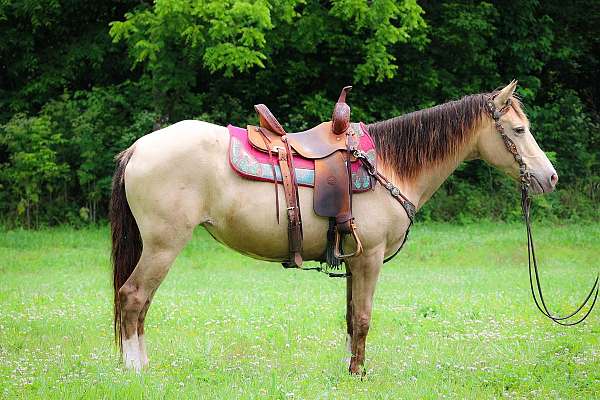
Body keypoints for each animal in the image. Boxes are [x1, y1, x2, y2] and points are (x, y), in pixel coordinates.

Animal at [111, 82, 564, 376]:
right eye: (520, 130)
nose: (550, 177)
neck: (389, 167)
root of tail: (139, 147)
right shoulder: (369, 257)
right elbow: (363, 317)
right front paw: (358, 372)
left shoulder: (352, 258)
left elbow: (349, 317)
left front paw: (349, 366)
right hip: (163, 245)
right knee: (133, 298)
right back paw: (136, 370)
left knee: (140, 304)